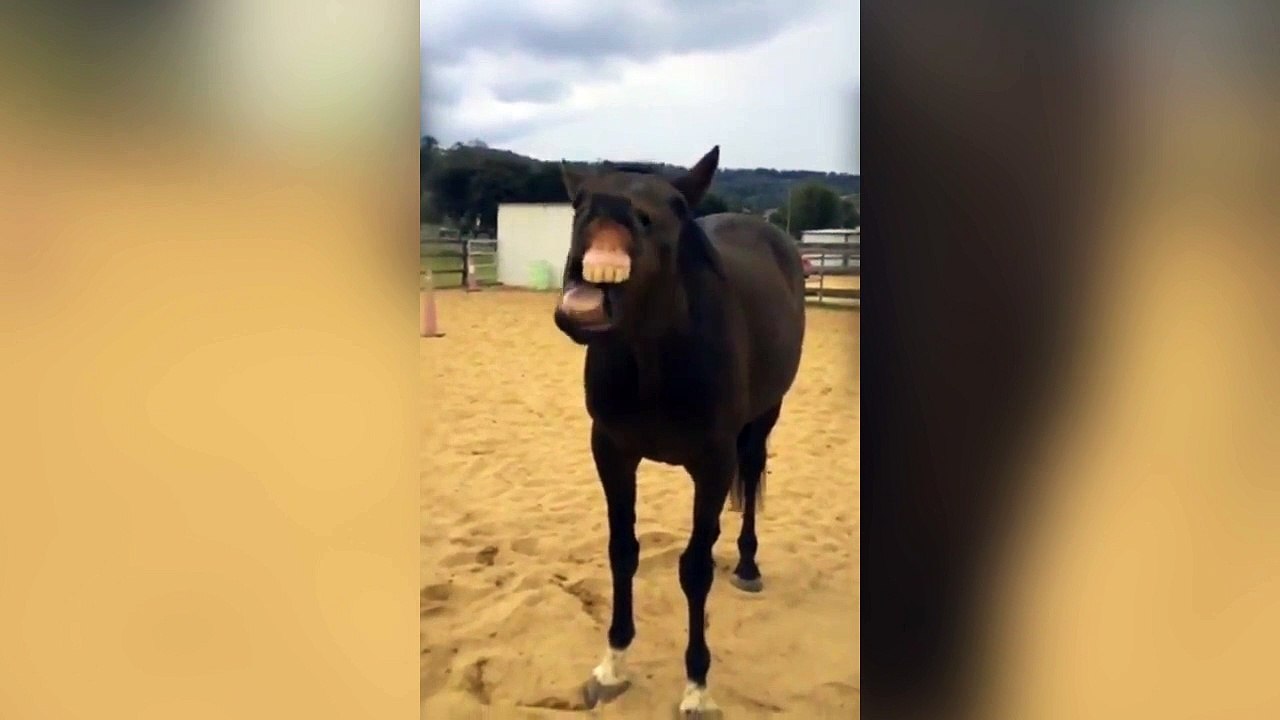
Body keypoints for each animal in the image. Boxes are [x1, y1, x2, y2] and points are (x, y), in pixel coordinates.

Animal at [552, 146, 807, 717]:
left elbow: (693, 574)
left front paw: (696, 687)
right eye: (579, 202)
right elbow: (622, 550)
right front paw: (612, 664)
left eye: (670, 207)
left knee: (750, 475)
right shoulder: (611, 451)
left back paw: (748, 566)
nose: (608, 211)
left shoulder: (713, 462)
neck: (654, 361)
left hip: (764, 417)